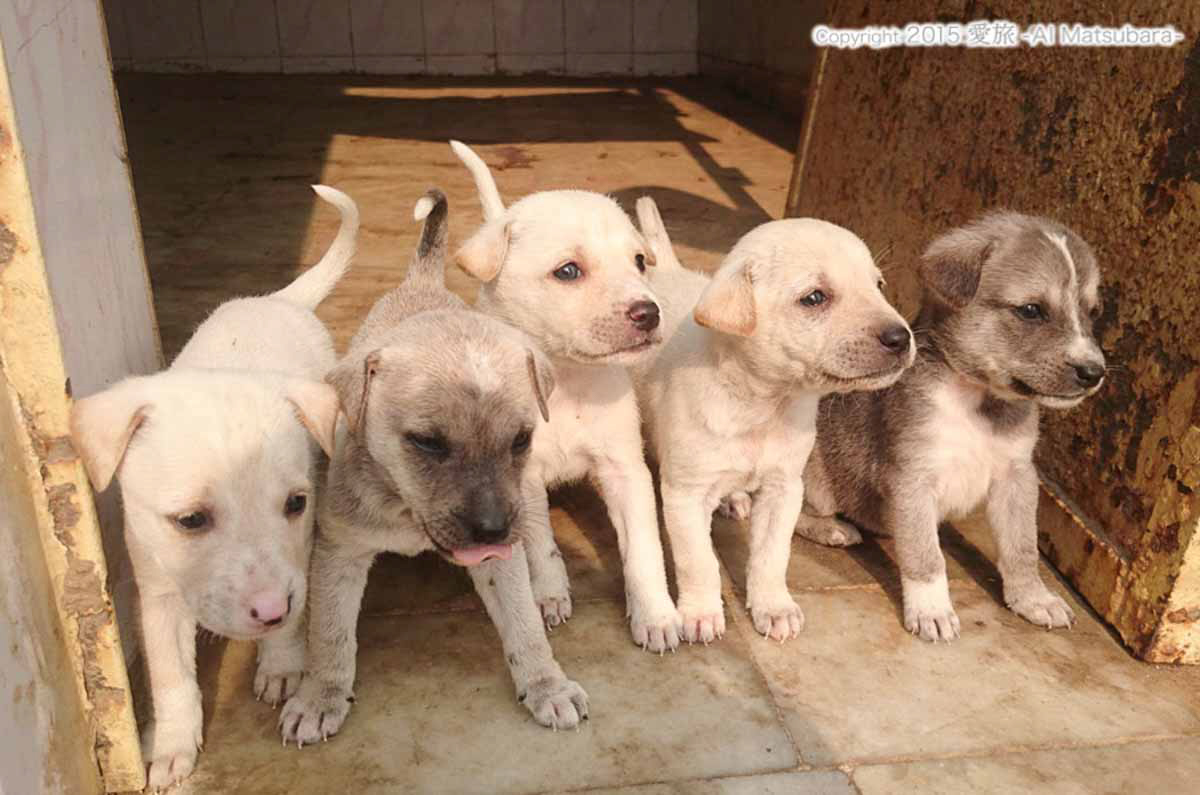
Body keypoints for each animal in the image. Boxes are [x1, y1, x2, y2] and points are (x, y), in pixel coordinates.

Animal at [69, 185, 355, 790]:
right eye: (190, 520)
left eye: (296, 503)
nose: (269, 610)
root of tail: (276, 300)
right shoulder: (155, 591)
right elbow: (171, 677)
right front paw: (172, 748)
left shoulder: (301, 551)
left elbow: (295, 615)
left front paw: (281, 664)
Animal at [278, 189, 588, 746]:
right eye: (426, 442)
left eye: (521, 439)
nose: (492, 530)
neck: (405, 509)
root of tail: (423, 284)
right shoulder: (338, 552)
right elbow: (330, 634)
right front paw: (319, 698)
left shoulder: (502, 555)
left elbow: (524, 625)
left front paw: (546, 685)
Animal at [450, 141, 682, 652]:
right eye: (568, 271)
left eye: (639, 261)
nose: (649, 313)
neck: (569, 382)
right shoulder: (524, 478)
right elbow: (542, 546)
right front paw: (549, 595)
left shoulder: (625, 470)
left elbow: (644, 548)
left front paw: (656, 615)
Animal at [633, 197, 914, 643]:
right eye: (814, 298)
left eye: (879, 285)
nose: (901, 338)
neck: (764, 404)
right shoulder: (684, 494)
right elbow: (699, 562)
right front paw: (701, 614)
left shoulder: (785, 489)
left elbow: (771, 556)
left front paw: (774, 608)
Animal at [796, 211, 1106, 641]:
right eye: (1031, 310)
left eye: (1092, 313)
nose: (1094, 373)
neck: (980, 405)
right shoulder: (912, 477)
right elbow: (927, 556)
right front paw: (931, 610)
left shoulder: (1017, 476)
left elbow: (1022, 548)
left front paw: (1034, 599)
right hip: (816, 482)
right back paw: (832, 530)